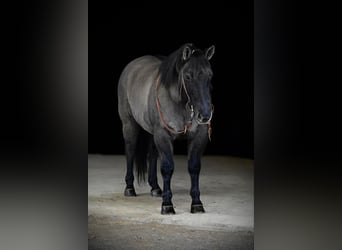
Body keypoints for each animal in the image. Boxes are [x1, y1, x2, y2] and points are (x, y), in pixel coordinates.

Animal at [117, 43, 214, 215]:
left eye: (210, 75)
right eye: (188, 76)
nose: (205, 115)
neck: (180, 104)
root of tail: (131, 67)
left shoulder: (198, 136)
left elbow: (194, 167)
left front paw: (197, 203)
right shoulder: (163, 135)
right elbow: (167, 168)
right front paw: (167, 205)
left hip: (152, 133)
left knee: (152, 155)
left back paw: (155, 188)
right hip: (129, 125)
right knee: (130, 152)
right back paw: (129, 188)